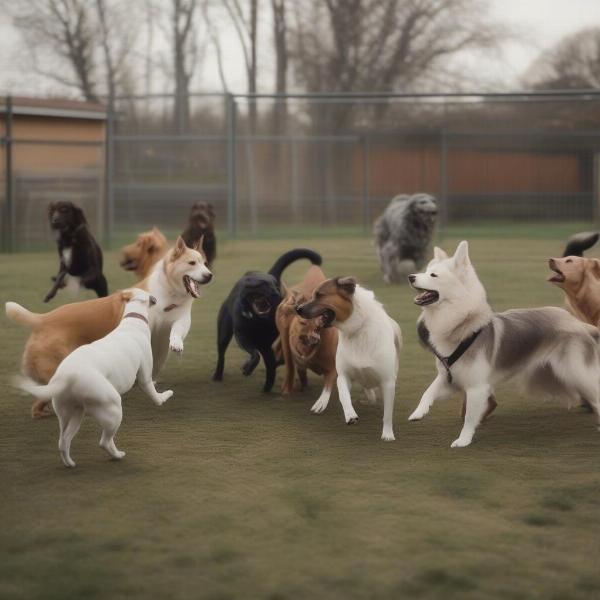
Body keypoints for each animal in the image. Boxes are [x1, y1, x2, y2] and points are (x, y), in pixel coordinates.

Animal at [15, 288, 173, 466]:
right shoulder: (145, 378)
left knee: (63, 442)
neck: (133, 319)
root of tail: (66, 378)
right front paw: (165, 395)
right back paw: (118, 455)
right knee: (104, 442)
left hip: (72, 415)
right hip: (113, 410)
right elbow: (156, 396)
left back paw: (70, 463)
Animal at [212, 247, 322, 392]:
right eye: (250, 282)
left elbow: (271, 362)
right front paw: (247, 368)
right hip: (224, 332)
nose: (254, 284)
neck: (260, 323)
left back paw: (266, 389)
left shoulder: (269, 345)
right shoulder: (243, 337)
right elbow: (254, 354)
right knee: (221, 354)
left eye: (272, 284)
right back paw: (217, 376)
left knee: (270, 368)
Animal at [276, 264, 338, 410]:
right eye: (302, 322)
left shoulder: (332, 367)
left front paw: (320, 403)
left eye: (318, 327)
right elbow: (293, 369)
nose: (315, 338)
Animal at [408, 241, 600, 448]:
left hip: (576, 372)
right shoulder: (449, 378)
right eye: (426, 271)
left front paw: (464, 440)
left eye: (433, 275)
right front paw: (418, 412)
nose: (410, 277)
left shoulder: (476, 388)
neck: (462, 325)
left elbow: (469, 417)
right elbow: (428, 392)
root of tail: (576, 322)